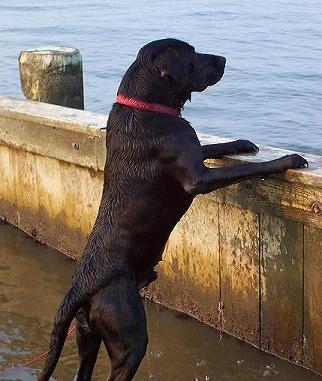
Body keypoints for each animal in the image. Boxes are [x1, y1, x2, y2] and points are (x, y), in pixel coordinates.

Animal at [38, 39, 306, 380]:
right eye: (191, 54)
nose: (223, 58)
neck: (146, 107)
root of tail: (80, 287)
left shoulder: (192, 147)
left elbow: (211, 146)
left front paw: (242, 143)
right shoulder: (197, 178)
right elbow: (248, 169)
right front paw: (288, 160)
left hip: (88, 335)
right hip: (129, 337)